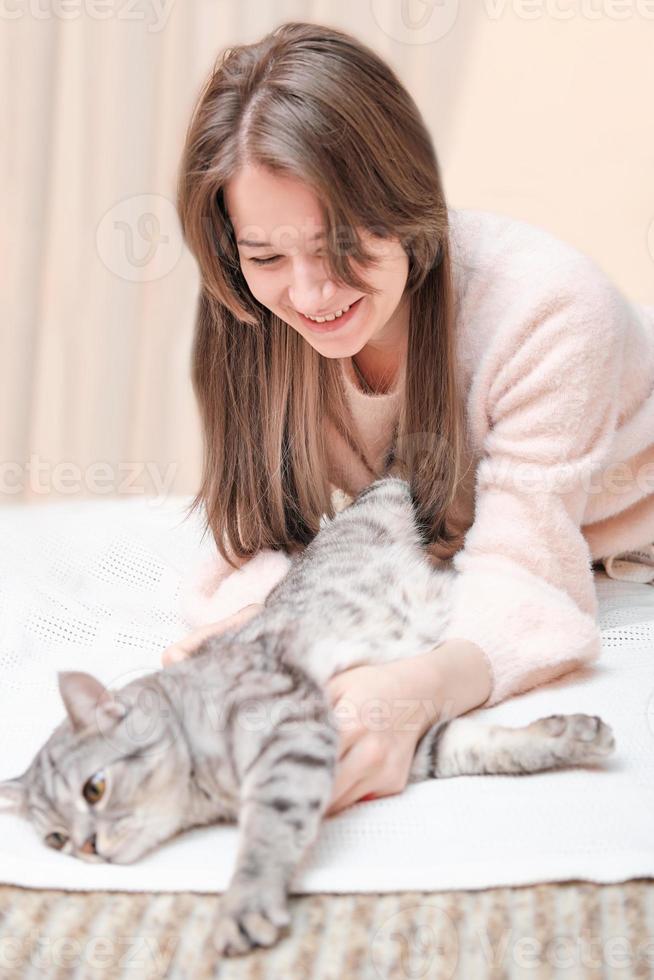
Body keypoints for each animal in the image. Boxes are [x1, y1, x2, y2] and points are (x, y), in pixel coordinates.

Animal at [0, 474, 616, 956]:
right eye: (54, 839)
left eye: (95, 789)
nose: (86, 849)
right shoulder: (414, 743)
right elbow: (488, 746)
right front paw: (567, 737)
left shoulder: (289, 729)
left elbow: (267, 831)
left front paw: (244, 902)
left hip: (388, 498)